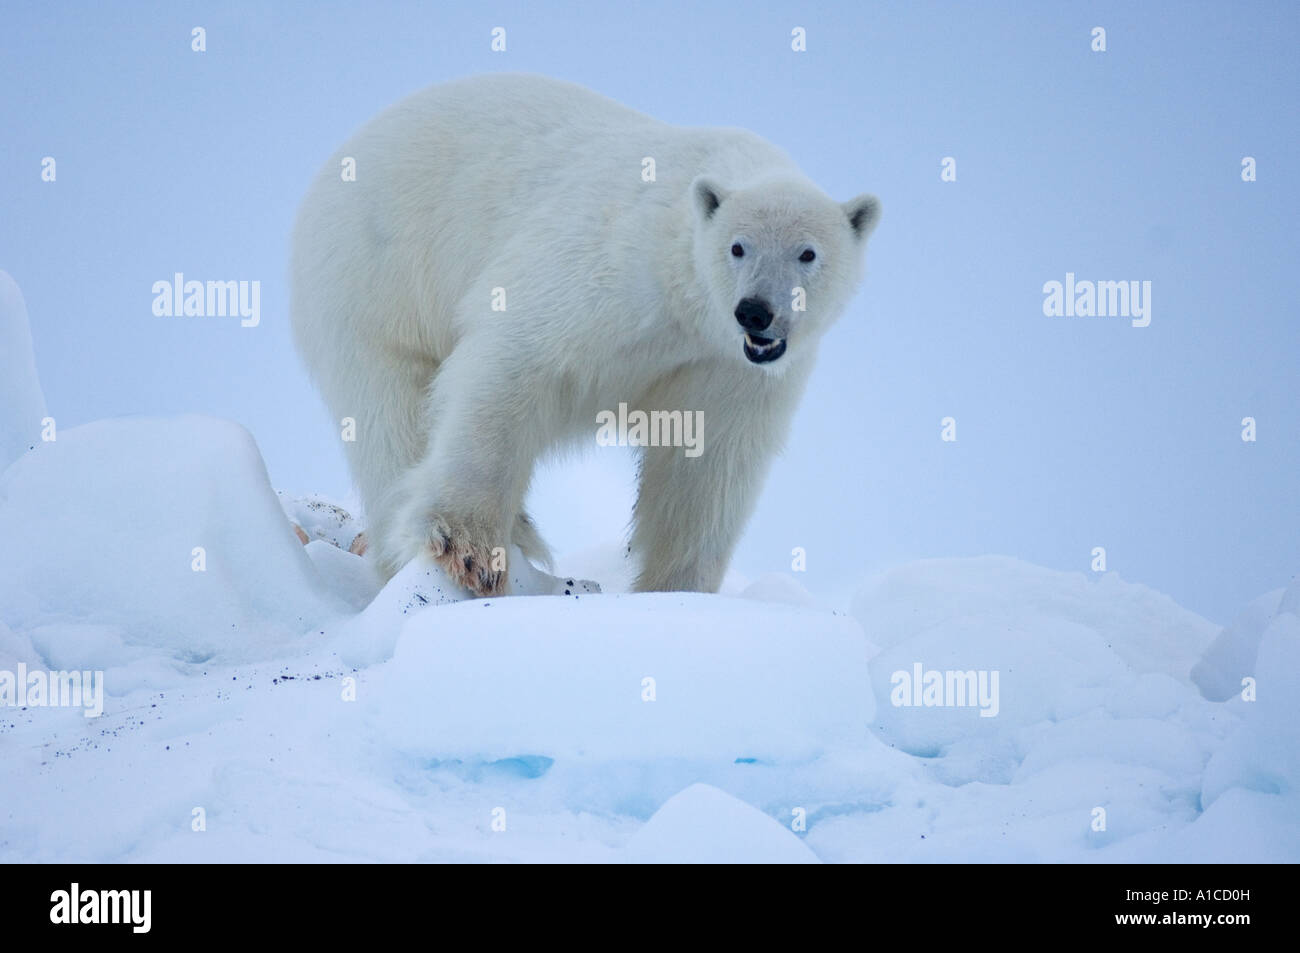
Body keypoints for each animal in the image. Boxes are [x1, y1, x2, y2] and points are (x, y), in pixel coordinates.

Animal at [292, 76, 883, 595]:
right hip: (375, 277)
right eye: (737, 247)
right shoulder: (613, 265)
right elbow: (515, 356)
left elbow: (706, 463)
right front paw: (470, 548)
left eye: (808, 253)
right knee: (390, 413)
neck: (687, 302)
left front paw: (678, 590)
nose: (755, 312)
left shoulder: (725, 366)